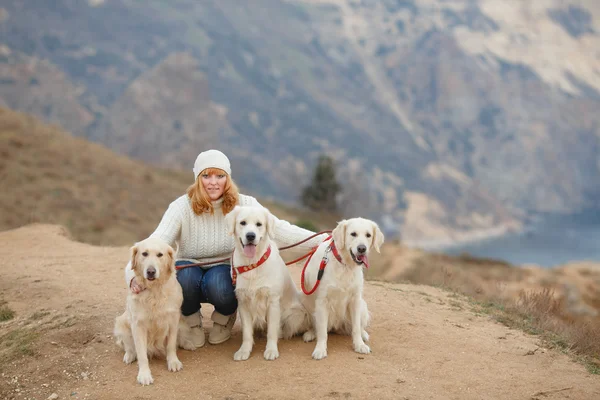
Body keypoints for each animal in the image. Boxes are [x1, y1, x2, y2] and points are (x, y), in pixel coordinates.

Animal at [115, 238, 195, 384]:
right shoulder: (138, 324)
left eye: (160, 255)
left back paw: (188, 344)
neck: (154, 290)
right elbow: (141, 354)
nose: (151, 271)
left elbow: (171, 344)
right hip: (121, 323)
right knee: (128, 346)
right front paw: (144, 374)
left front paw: (173, 362)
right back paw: (129, 356)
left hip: (181, 323)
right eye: (144, 254)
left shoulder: (173, 319)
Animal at [225, 206, 310, 360]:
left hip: (295, 315)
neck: (252, 263)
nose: (250, 236)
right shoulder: (243, 302)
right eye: (242, 223)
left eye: (259, 224)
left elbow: (272, 331)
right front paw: (244, 351)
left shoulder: (273, 301)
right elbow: (247, 333)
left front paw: (271, 350)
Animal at [302, 217, 382, 360]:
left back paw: (364, 334)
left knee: (359, 325)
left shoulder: (355, 300)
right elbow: (322, 331)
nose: (362, 248)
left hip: (362, 305)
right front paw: (320, 349)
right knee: (317, 326)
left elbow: (356, 327)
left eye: (368, 235)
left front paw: (359, 345)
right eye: (353, 234)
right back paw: (310, 333)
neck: (345, 265)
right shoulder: (322, 301)